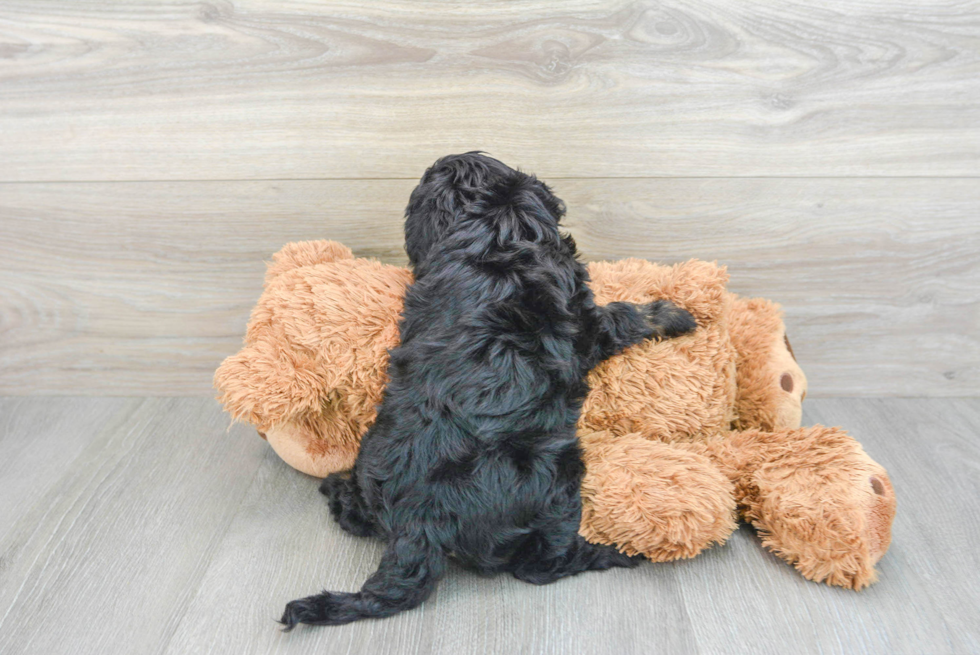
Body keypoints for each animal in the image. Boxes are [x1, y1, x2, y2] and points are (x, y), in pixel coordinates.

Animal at [282, 154, 696, 632]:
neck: (497, 226)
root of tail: (422, 521)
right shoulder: (587, 322)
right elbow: (626, 314)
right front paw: (678, 314)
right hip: (557, 483)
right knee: (541, 565)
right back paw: (612, 553)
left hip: (373, 460)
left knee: (357, 515)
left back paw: (338, 490)